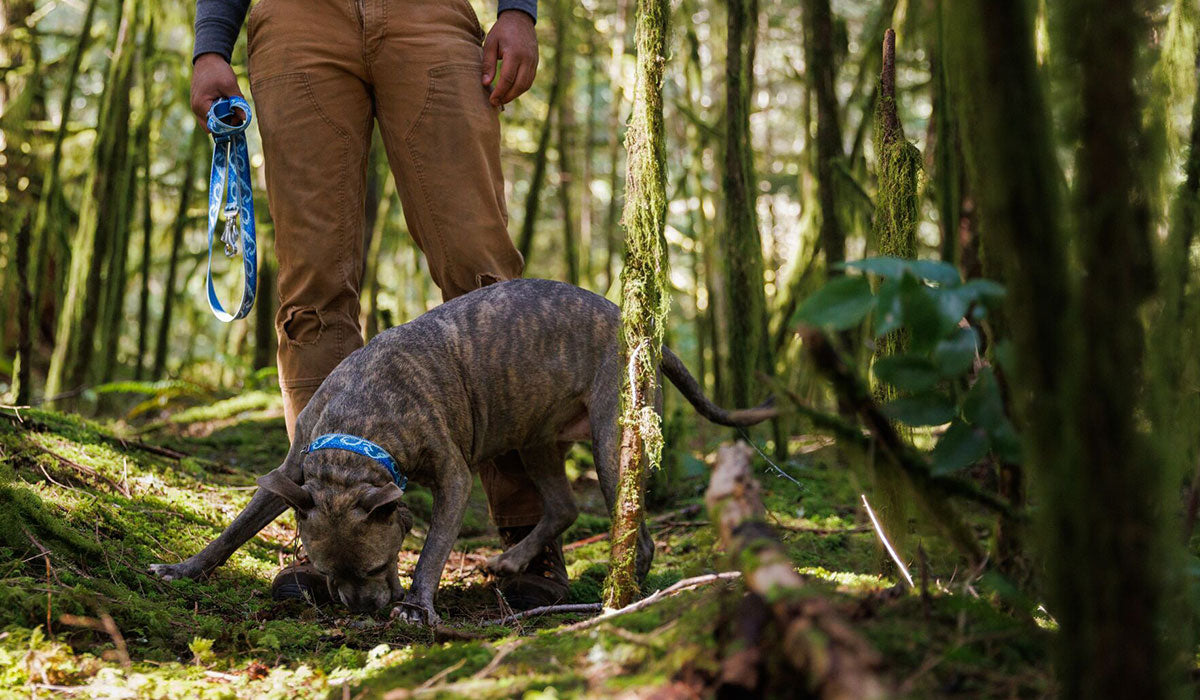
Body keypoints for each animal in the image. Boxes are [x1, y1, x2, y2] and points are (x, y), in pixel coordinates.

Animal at [150, 279, 772, 624]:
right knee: (563, 506)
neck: (358, 428)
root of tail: (643, 330)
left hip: (609, 444)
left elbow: (432, 551)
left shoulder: (453, 478)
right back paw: (516, 561)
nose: (362, 611)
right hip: (533, 433)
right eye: (324, 574)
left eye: (375, 567)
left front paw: (417, 605)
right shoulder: (288, 473)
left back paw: (621, 593)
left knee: (633, 528)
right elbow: (235, 529)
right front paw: (184, 567)